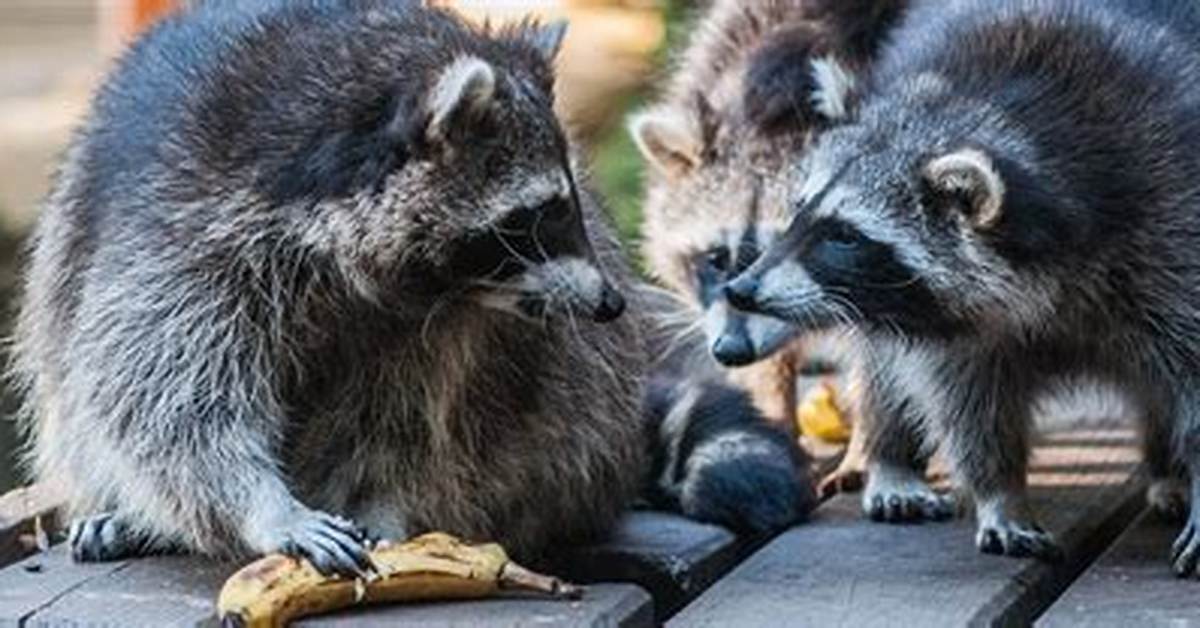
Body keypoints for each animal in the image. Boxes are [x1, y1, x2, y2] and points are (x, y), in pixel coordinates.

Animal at [12, 0, 645, 574]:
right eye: (539, 213)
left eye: (568, 202)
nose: (611, 303)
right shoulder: (180, 228)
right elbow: (162, 396)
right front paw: (266, 509)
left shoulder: (441, 327)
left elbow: (405, 423)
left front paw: (382, 504)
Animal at [725, 0, 1200, 568]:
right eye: (799, 211)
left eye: (844, 235)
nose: (741, 289)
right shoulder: (950, 319)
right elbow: (967, 398)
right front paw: (1000, 491)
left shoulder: (1171, 220)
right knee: (885, 367)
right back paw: (890, 455)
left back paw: (1169, 470)